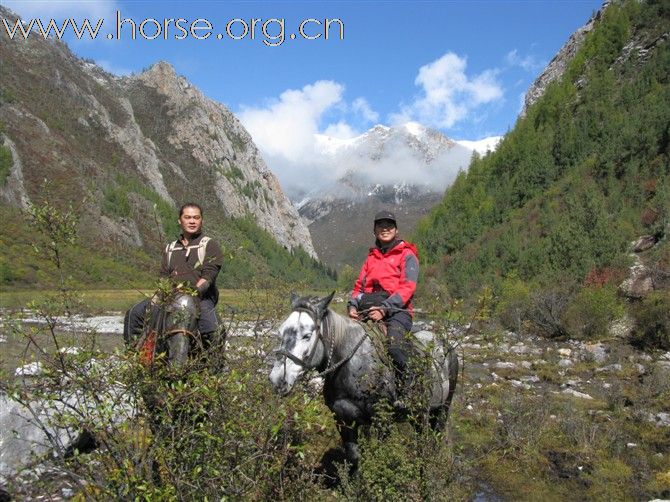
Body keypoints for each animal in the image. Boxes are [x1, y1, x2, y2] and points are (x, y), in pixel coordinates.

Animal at [270, 292, 460, 464]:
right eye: (280, 331)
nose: (277, 379)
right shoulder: (343, 421)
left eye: (307, 336)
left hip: (440, 410)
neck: (351, 363)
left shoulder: (383, 421)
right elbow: (354, 458)